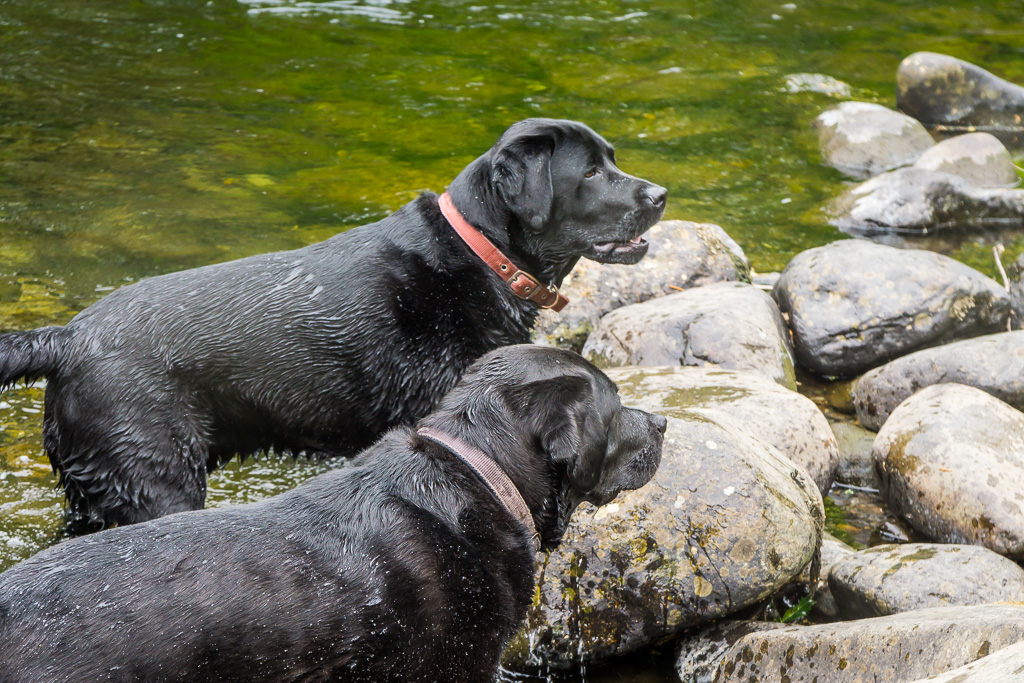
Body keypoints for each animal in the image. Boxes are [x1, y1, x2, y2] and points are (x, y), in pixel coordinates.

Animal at [0, 117, 667, 528]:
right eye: (590, 173)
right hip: (154, 479)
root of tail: (66, 338)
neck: (481, 252)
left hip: (94, 491)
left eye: (613, 160)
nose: (660, 194)